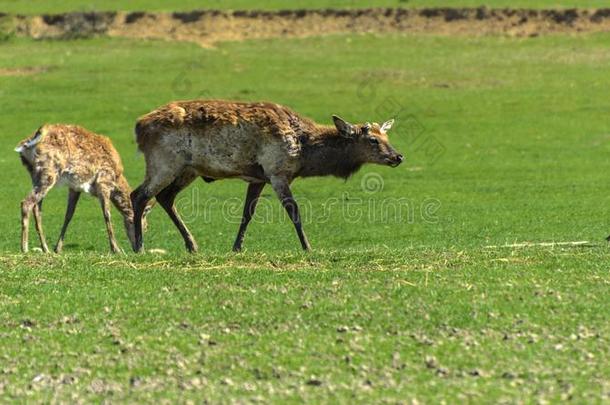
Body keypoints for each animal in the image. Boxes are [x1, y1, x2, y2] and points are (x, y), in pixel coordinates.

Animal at [131, 100, 402, 252]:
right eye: (373, 140)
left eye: (387, 136)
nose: (398, 156)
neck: (304, 151)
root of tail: (139, 127)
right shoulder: (277, 170)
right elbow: (294, 211)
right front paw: (307, 247)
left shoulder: (259, 177)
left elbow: (247, 213)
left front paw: (237, 247)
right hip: (164, 162)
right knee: (140, 195)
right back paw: (139, 246)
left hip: (187, 169)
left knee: (165, 198)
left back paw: (192, 245)